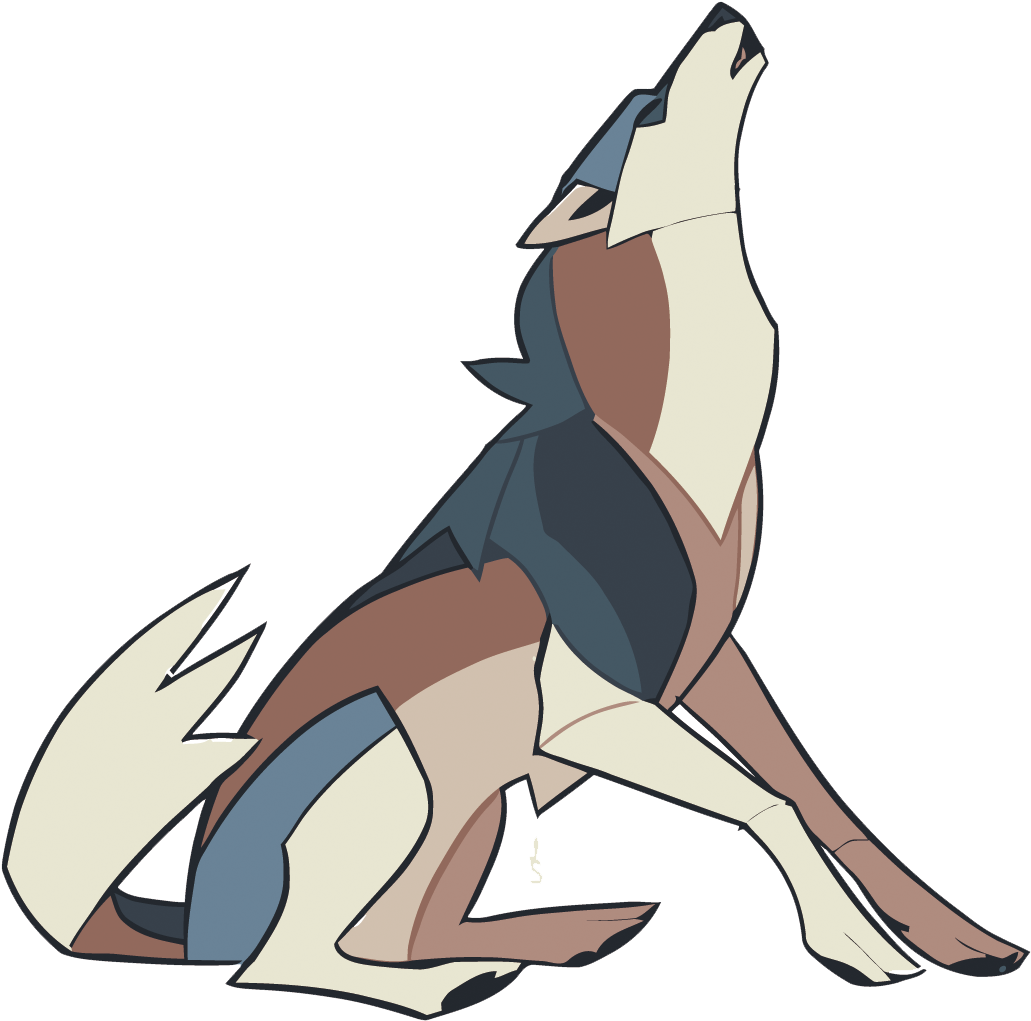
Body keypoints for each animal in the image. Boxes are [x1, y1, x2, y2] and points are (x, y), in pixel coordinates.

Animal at [5, 5, 1025, 1016]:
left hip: (474, 807)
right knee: (285, 960)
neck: (668, 431)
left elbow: (818, 801)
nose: (722, 12)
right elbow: (764, 803)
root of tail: (188, 922)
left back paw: (560, 934)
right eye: (650, 106)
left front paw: (960, 940)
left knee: (394, 932)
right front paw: (856, 947)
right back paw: (454, 982)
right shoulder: (582, 708)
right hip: (405, 761)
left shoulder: (704, 667)